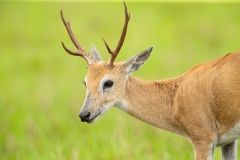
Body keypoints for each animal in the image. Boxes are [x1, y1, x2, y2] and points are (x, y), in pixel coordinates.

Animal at [60, 1, 240, 160]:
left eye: (108, 82)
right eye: (85, 82)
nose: (84, 114)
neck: (175, 97)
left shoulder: (203, 138)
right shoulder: (228, 141)